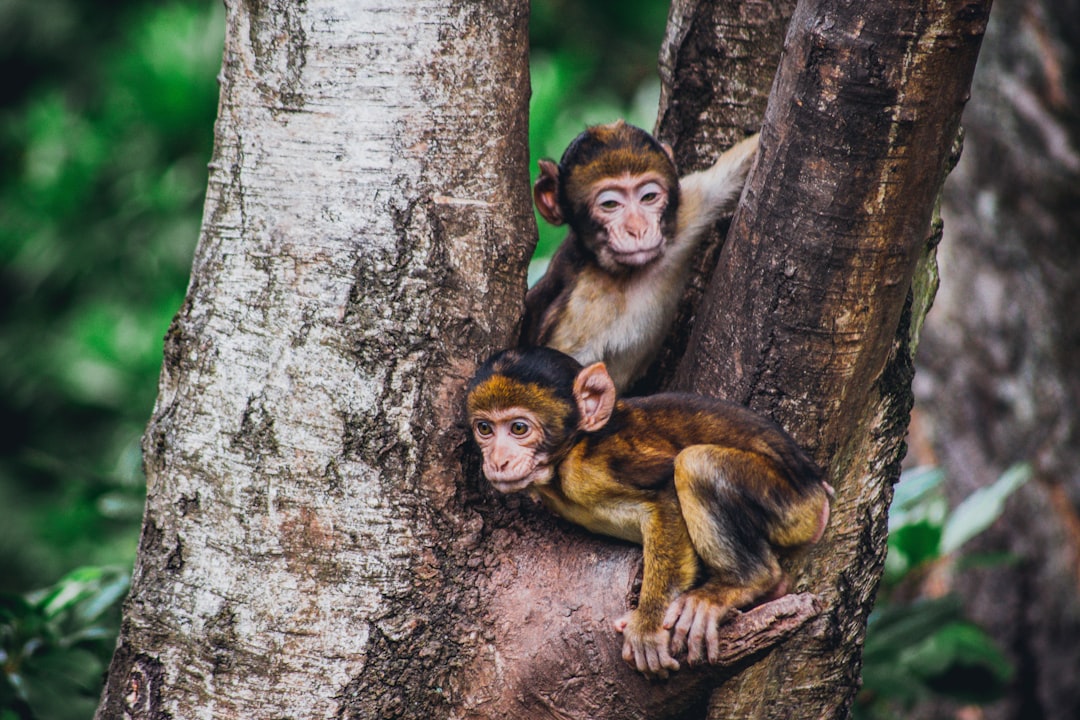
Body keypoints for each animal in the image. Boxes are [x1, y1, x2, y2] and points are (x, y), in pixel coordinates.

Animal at [462, 345, 825, 677]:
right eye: (485, 428)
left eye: (519, 428)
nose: (498, 461)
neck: (566, 457)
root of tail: (817, 489)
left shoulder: (594, 465)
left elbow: (666, 491)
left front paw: (649, 624)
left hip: (792, 504)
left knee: (694, 463)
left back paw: (742, 583)